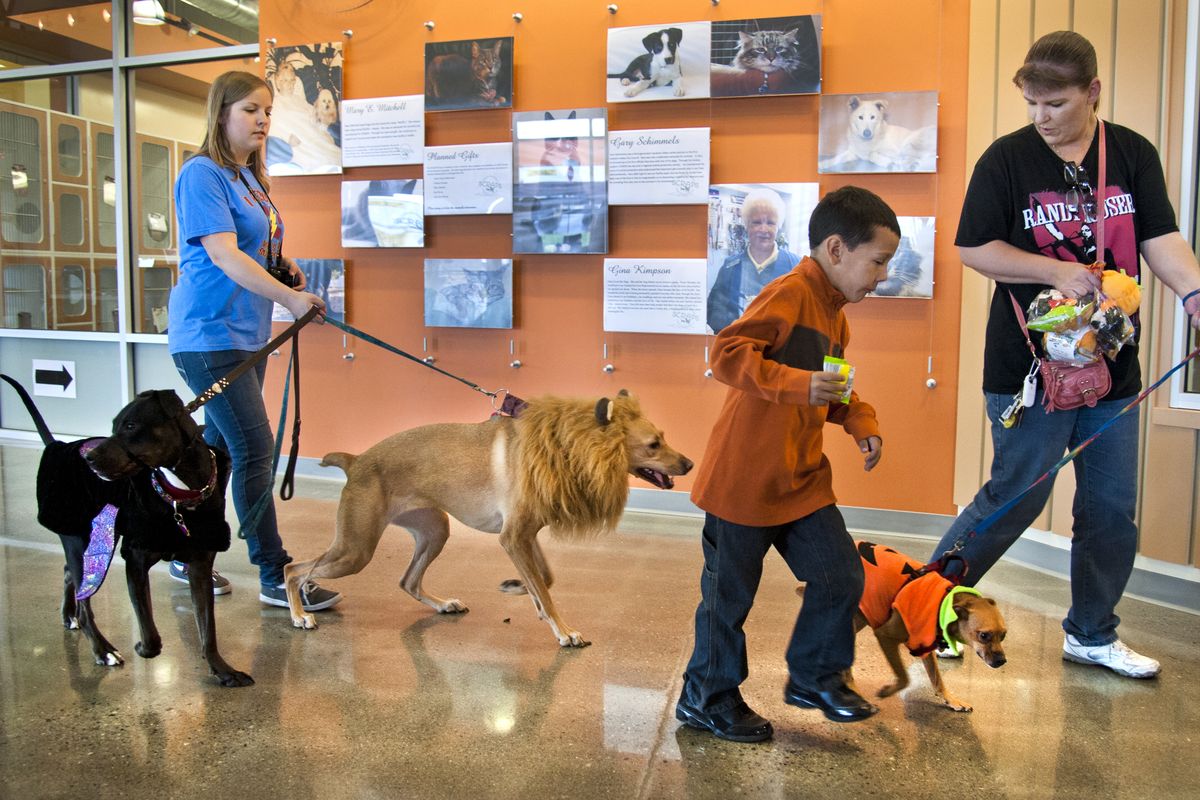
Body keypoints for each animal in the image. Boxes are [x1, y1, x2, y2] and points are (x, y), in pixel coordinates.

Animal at [1, 376, 250, 690]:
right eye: (113, 425)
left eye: (131, 426)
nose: (90, 458)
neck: (179, 495)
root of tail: (59, 445)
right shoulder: (136, 561)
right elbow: (151, 632)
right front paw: (143, 648)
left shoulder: (200, 566)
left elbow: (208, 628)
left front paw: (223, 670)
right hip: (80, 536)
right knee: (84, 599)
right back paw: (101, 648)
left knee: (71, 574)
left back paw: (69, 616)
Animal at [283, 391, 696, 647]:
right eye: (653, 444)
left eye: (663, 436)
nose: (690, 463)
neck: (562, 447)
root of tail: (356, 461)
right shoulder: (513, 538)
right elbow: (545, 587)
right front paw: (563, 630)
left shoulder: (525, 537)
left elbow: (545, 579)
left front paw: (523, 592)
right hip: (355, 550)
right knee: (294, 569)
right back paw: (300, 614)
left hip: (434, 531)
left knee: (408, 581)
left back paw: (443, 604)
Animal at [849, 542, 1008, 710]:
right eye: (983, 635)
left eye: (1003, 636)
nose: (1002, 661)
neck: (942, 602)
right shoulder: (885, 636)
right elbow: (905, 678)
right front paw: (887, 691)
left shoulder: (924, 647)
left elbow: (937, 678)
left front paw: (951, 699)